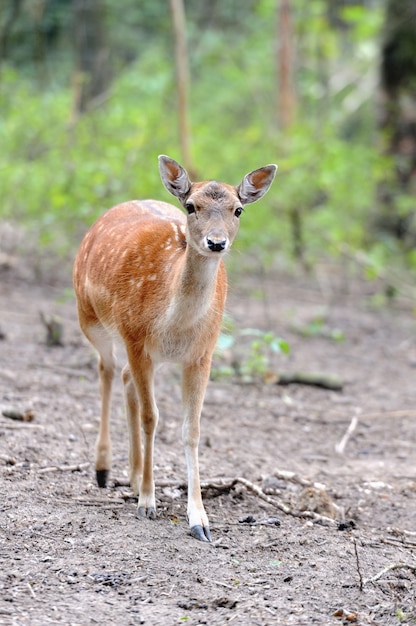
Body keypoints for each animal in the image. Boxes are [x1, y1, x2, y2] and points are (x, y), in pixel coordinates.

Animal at [73, 154, 278, 540]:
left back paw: (133, 476)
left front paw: (199, 519)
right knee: (106, 369)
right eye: (191, 206)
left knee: (124, 377)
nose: (216, 242)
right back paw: (104, 470)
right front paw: (147, 504)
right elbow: (152, 417)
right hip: (89, 316)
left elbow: (191, 429)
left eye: (238, 209)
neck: (174, 325)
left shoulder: (202, 354)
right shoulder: (136, 337)